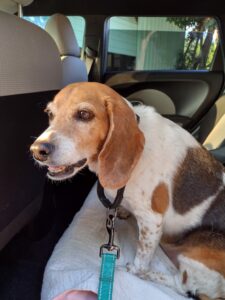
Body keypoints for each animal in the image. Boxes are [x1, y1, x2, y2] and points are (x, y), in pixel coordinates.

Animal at [31, 82, 225, 300]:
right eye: (50, 114)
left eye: (84, 114)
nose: (37, 150)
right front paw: (123, 210)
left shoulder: (152, 222)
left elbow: (142, 256)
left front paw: (134, 269)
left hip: (199, 248)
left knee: (183, 285)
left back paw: (148, 274)